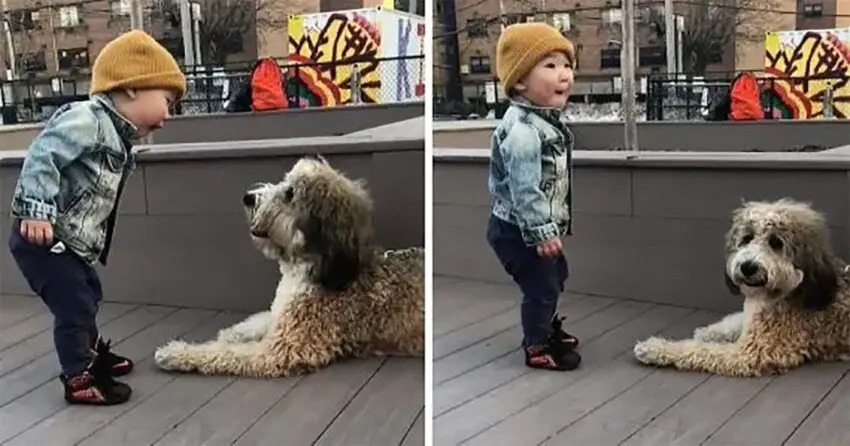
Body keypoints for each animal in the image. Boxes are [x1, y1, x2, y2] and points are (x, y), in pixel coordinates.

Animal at [152, 156, 424, 376]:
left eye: (290, 194)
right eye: (284, 183)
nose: (248, 197)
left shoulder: (283, 349)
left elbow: (226, 353)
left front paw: (178, 352)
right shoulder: (281, 315)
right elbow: (262, 319)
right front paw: (235, 332)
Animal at [628, 199, 848, 376]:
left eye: (776, 242)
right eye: (747, 238)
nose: (748, 266)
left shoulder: (751, 352)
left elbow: (700, 349)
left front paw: (654, 348)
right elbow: (734, 320)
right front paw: (710, 331)